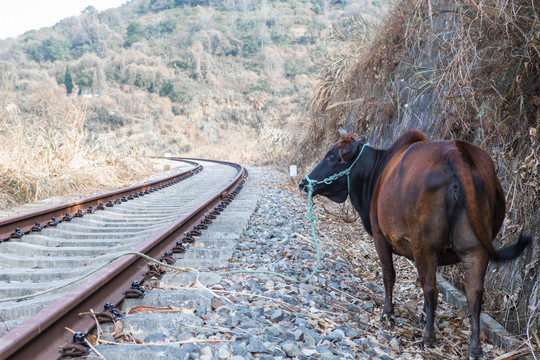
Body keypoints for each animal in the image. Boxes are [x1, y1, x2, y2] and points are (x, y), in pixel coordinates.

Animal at [300, 128, 532, 358]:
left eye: (331, 156)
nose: (303, 183)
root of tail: (457, 153)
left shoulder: (380, 235)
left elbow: (389, 275)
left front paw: (388, 315)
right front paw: (422, 315)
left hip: (424, 244)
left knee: (431, 290)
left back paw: (428, 339)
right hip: (475, 249)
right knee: (474, 295)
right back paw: (474, 349)